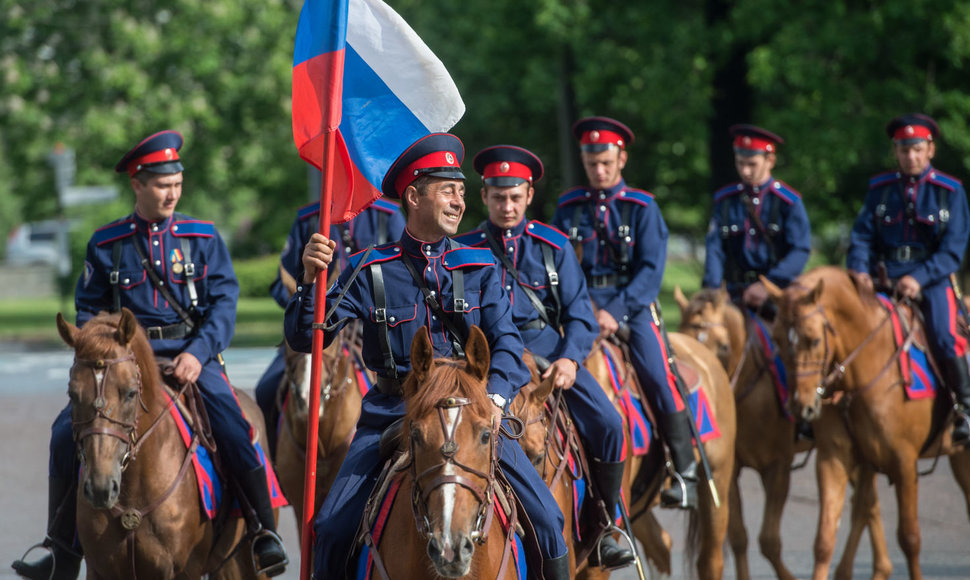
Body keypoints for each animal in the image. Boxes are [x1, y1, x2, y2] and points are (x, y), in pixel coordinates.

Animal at [56, 306, 268, 576]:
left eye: (130, 393)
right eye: (72, 394)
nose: (100, 488)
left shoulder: (184, 570)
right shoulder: (100, 570)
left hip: (239, 563)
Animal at [672, 288, 892, 580]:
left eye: (724, 346)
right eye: (681, 336)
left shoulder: (778, 468)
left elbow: (768, 540)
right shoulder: (731, 472)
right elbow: (739, 537)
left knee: (866, 502)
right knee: (870, 502)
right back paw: (882, 567)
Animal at [764, 268, 968, 580]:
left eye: (813, 340)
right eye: (776, 339)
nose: (800, 406)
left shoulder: (904, 463)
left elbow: (910, 538)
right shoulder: (833, 459)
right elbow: (824, 539)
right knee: (863, 506)